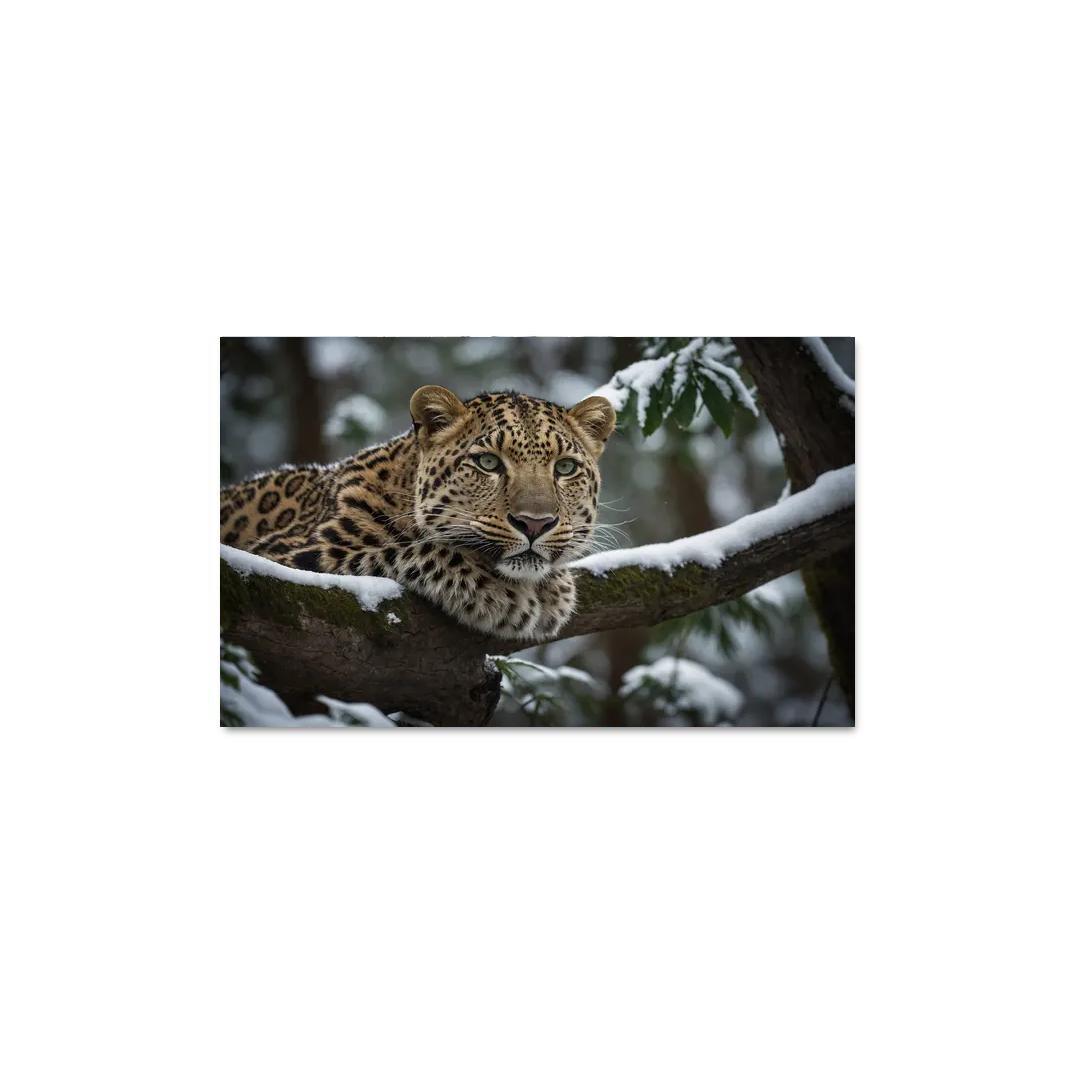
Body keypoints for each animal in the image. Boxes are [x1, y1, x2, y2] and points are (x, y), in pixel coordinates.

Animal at [220, 386, 617, 640]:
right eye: (488, 462)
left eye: (565, 468)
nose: (535, 523)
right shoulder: (284, 558)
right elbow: (409, 549)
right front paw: (502, 594)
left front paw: (555, 587)